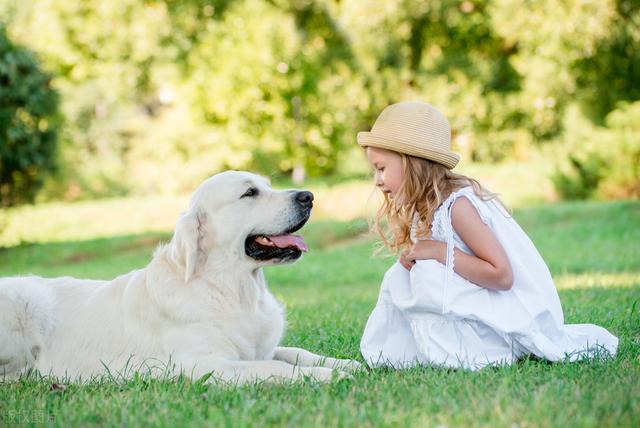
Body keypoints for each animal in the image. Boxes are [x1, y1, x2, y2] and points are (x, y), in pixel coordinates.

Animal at [0, 172, 360, 382]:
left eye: (269, 186)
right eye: (250, 193)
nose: (308, 196)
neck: (234, 290)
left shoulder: (259, 348)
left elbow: (296, 353)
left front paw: (349, 364)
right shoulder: (200, 364)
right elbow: (277, 368)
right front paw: (326, 376)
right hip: (24, 302)